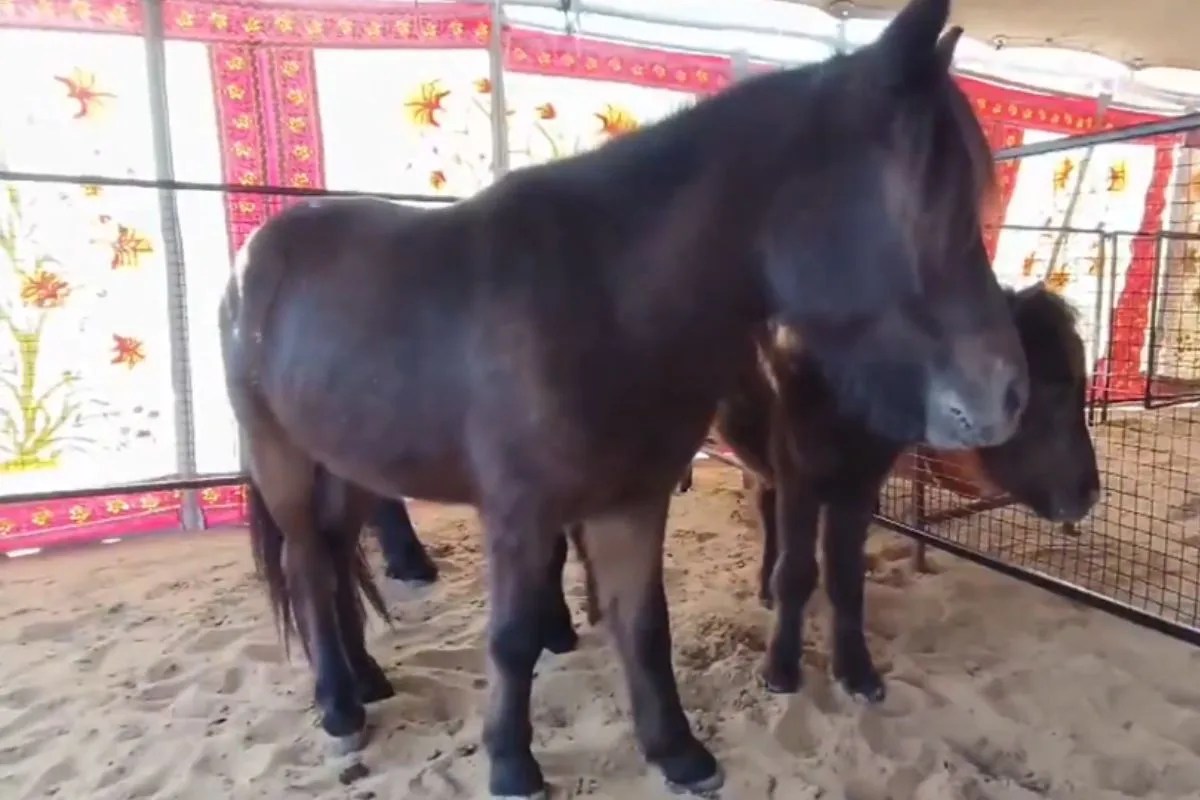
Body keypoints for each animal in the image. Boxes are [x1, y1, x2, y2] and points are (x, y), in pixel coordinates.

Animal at [220, 0, 1027, 795]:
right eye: (926, 200)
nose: (1009, 393)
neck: (606, 299)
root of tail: (252, 257)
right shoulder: (519, 515)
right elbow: (511, 640)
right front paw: (512, 763)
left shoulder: (632, 503)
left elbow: (644, 625)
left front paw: (678, 752)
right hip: (282, 459)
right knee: (308, 566)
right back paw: (338, 705)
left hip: (349, 464)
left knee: (333, 559)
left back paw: (365, 681)